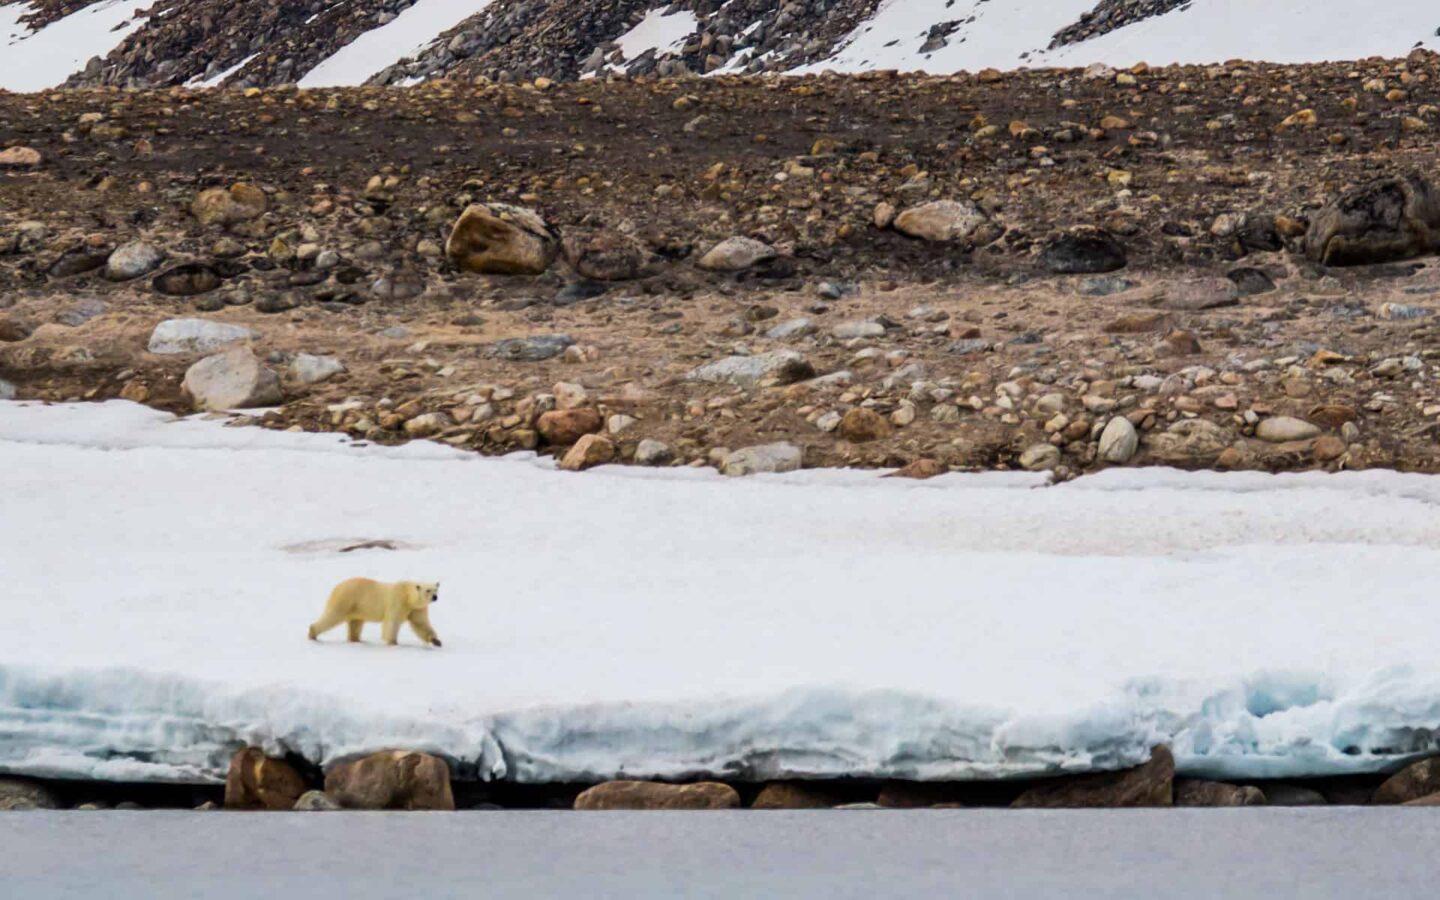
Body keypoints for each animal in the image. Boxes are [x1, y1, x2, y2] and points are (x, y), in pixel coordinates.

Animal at [308, 578, 442, 647]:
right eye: (428, 590)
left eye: (436, 589)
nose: (435, 597)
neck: (408, 596)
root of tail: (337, 586)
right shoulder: (397, 601)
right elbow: (392, 622)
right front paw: (393, 642)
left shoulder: (417, 609)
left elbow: (421, 624)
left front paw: (436, 641)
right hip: (347, 599)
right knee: (333, 615)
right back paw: (312, 634)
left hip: (357, 607)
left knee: (356, 624)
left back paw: (357, 640)